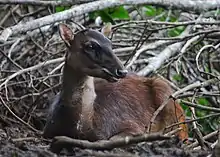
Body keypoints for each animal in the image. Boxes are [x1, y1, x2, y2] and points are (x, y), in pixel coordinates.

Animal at [42, 23, 187, 142]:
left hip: (165, 93)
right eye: (90, 46)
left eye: (111, 44)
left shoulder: (132, 126)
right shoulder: (46, 132)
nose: (122, 71)